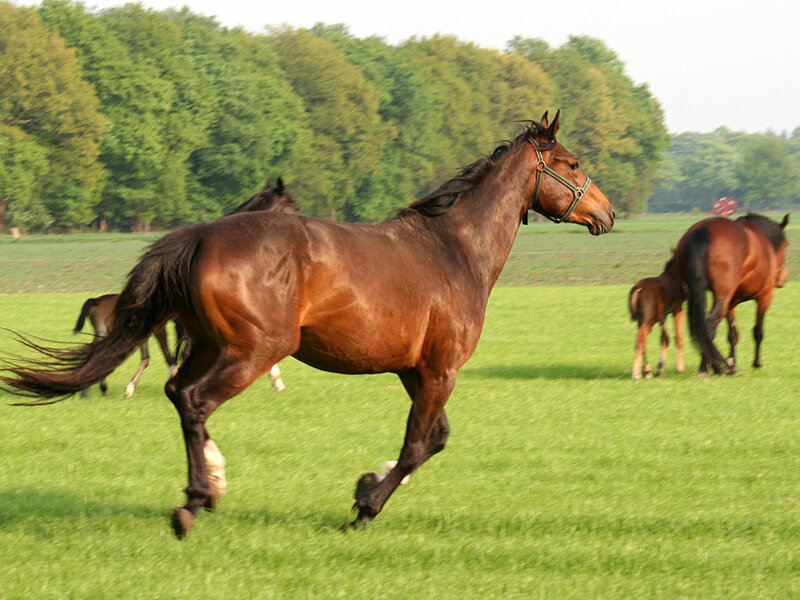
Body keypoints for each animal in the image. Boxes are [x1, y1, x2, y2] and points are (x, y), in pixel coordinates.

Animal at [1, 111, 615, 537]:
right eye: (573, 163)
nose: (606, 214)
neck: (454, 250)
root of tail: (199, 235)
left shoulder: (414, 371)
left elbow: (431, 440)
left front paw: (367, 482)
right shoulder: (441, 371)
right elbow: (418, 444)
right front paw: (363, 508)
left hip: (213, 344)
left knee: (179, 394)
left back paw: (211, 485)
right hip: (254, 350)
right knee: (195, 401)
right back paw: (195, 501)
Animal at [674, 213, 789, 375]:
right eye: (786, 245)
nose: (782, 278)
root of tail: (704, 230)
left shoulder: (732, 301)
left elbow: (732, 335)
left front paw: (732, 362)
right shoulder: (764, 297)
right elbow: (758, 331)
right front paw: (756, 363)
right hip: (723, 297)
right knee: (708, 326)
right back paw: (705, 368)